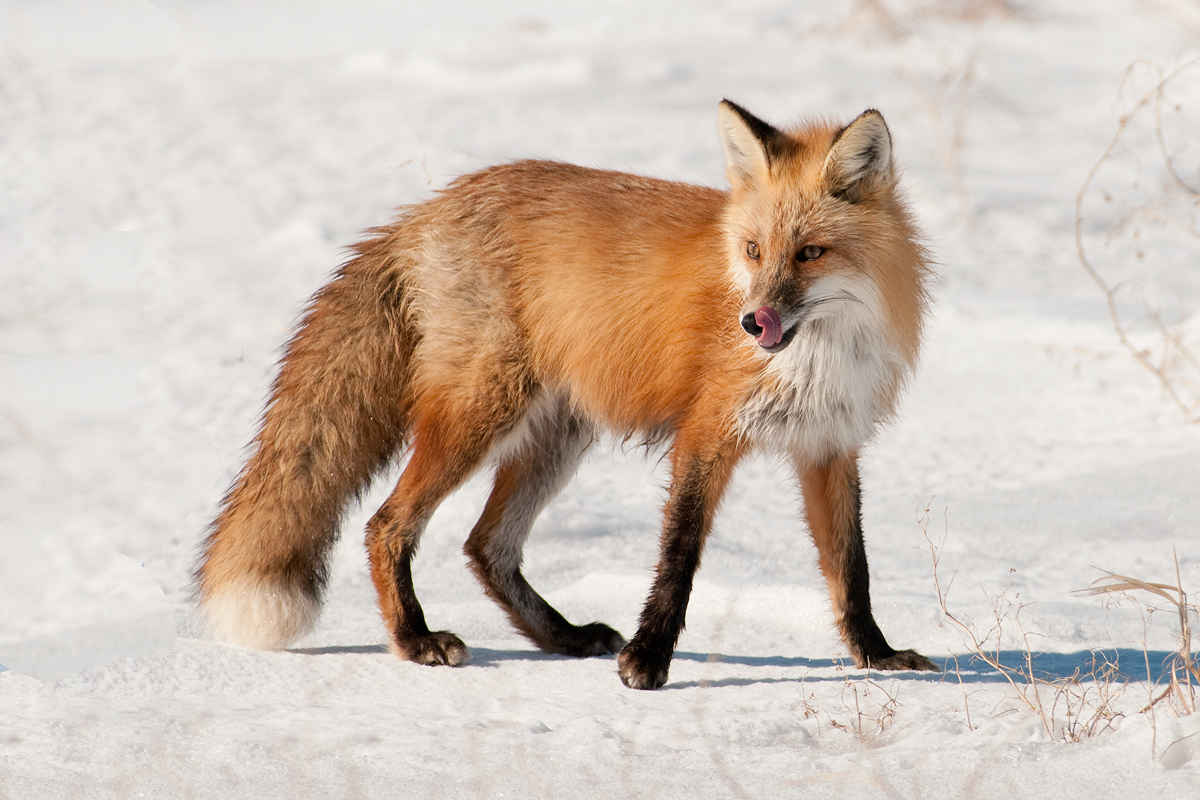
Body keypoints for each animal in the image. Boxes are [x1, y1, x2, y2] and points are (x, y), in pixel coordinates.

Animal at [195, 100, 937, 690]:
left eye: (809, 253)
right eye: (754, 251)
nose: (752, 322)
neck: (822, 353)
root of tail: (426, 209)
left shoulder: (830, 448)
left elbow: (852, 574)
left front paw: (878, 658)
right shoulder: (705, 436)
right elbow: (679, 557)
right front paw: (649, 662)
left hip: (557, 438)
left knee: (486, 546)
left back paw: (563, 637)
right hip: (480, 416)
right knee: (388, 525)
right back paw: (414, 640)